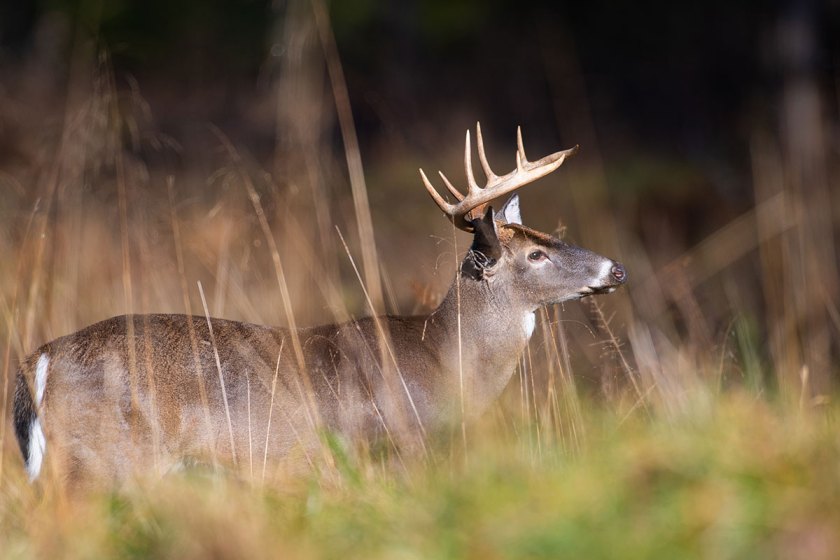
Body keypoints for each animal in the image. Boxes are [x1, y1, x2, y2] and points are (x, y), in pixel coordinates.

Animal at [14, 123, 624, 486]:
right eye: (536, 255)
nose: (615, 269)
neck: (439, 360)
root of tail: (37, 362)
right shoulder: (385, 449)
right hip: (106, 460)